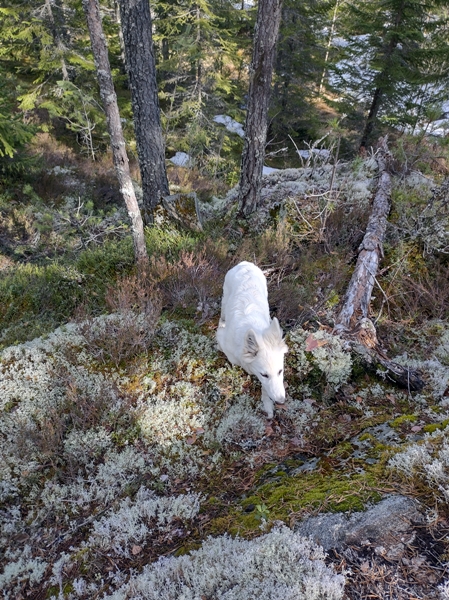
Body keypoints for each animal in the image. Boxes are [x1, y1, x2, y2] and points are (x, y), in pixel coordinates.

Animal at [216, 260, 288, 420]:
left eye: (280, 371)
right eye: (264, 374)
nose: (281, 401)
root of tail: (245, 264)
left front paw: (267, 404)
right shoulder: (225, 344)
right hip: (225, 298)